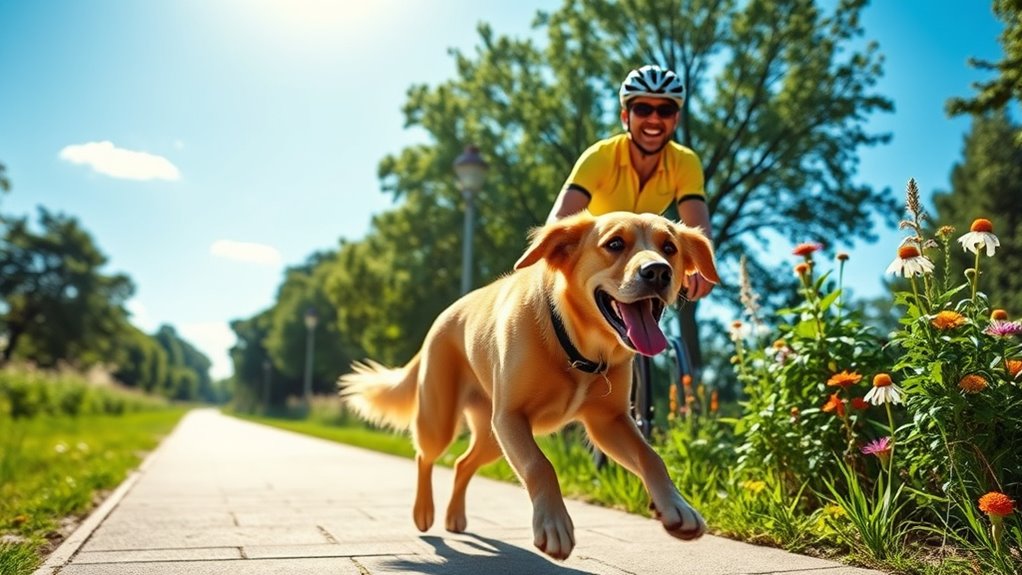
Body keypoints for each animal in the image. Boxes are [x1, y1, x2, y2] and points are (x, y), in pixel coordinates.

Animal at [341, 209, 719, 559]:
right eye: (615, 244)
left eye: (669, 248)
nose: (658, 271)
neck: (575, 345)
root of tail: (442, 318)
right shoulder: (511, 416)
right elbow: (541, 465)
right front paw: (553, 524)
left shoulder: (608, 422)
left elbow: (651, 456)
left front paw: (677, 506)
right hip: (444, 420)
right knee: (424, 456)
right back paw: (424, 512)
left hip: (493, 437)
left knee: (463, 463)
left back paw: (455, 517)